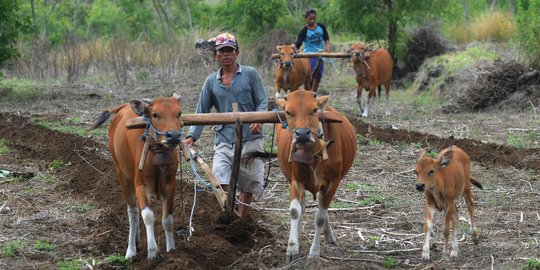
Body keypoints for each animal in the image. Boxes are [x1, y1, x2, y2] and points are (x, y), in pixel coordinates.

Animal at [88, 93, 181, 262]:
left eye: (179, 113)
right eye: (155, 114)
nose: (174, 136)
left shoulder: (171, 185)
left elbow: (167, 219)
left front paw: (172, 250)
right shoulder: (140, 185)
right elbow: (148, 216)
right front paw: (153, 252)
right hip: (122, 174)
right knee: (133, 211)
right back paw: (131, 249)